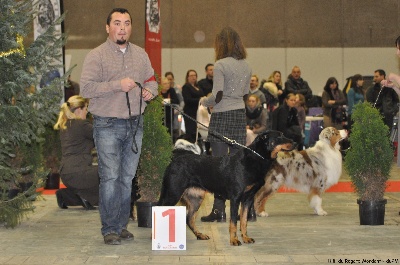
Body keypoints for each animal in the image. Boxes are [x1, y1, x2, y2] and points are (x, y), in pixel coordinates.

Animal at [159, 131, 294, 244]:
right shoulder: (235, 198)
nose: (295, 142)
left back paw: (200, 235)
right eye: (279, 137)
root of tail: (174, 160)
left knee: (189, 219)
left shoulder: (248, 199)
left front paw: (245, 238)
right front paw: (234, 240)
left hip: (196, 198)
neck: (256, 159)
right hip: (172, 194)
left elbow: (244, 221)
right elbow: (233, 222)